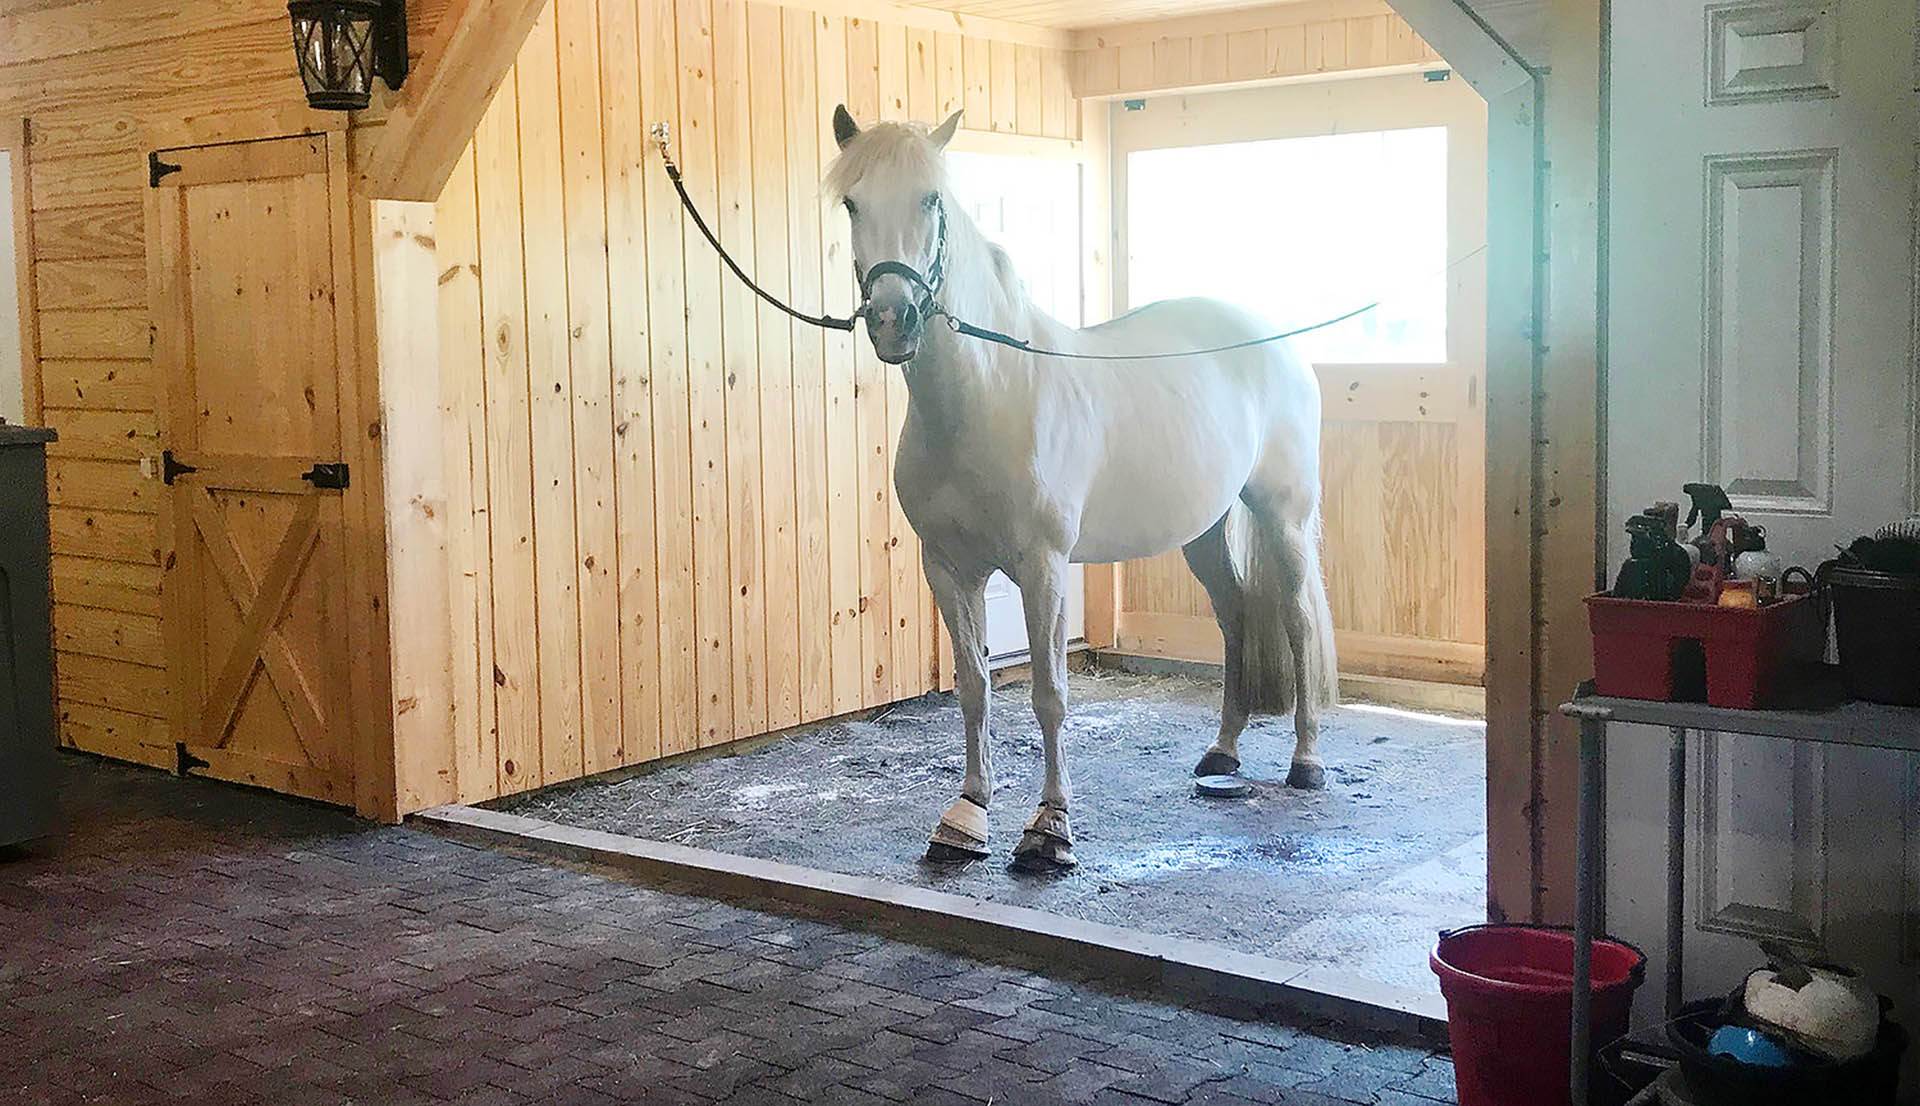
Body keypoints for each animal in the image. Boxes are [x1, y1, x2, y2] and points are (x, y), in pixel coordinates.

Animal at [826, 106, 1338, 871]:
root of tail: (1269, 335)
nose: (894, 321)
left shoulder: (1044, 567)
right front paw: (967, 814)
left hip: (1283, 515)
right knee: (1237, 615)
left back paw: (1306, 761)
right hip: (1205, 531)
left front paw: (1049, 827)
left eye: (931, 200)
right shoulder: (948, 568)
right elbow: (974, 687)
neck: (989, 396)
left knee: (1298, 621)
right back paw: (1222, 751)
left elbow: (1049, 693)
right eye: (853, 203)